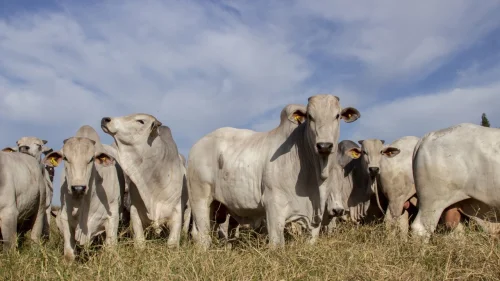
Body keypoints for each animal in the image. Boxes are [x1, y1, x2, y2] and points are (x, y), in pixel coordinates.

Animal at [45, 124, 123, 260]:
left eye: (91, 159)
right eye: (65, 158)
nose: (78, 188)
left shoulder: (112, 217)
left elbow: (110, 249)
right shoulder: (65, 218)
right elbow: (69, 254)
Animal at [100, 112, 187, 246]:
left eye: (141, 121)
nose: (105, 119)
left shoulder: (177, 211)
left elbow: (172, 243)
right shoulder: (135, 212)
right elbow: (140, 241)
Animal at [188, 95, 360, 248]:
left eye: (337, 116)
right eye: (310, 117)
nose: (324, 146)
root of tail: (196, 146)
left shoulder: (313, 218)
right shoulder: (274, 205)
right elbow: (277, 243)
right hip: (200, 199)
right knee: (203, 237)